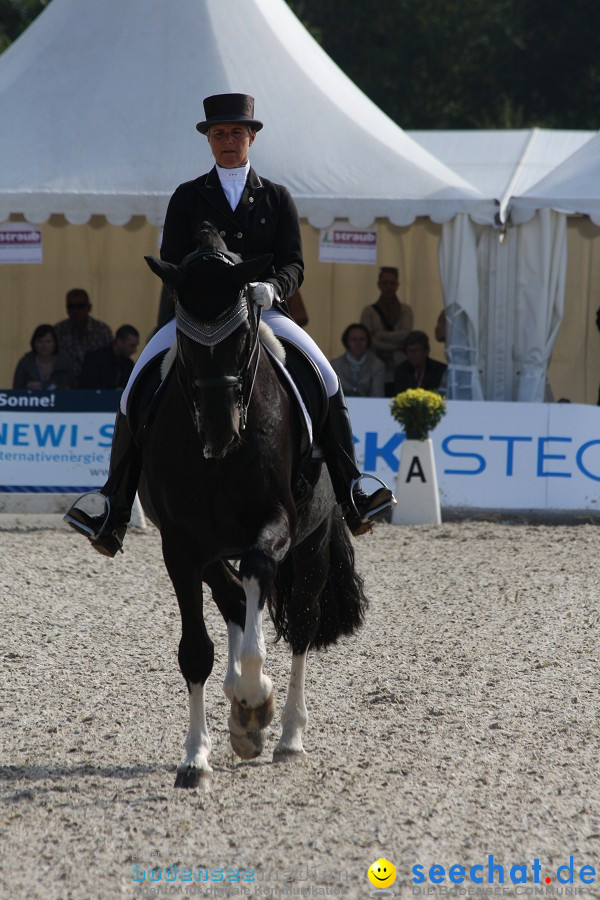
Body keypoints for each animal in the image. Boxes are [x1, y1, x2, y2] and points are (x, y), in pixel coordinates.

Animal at [142, 225, 366, 788]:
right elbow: (196, 651)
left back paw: (287, 734)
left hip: (311, 546)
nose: (220, 434)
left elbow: (260, 583)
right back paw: (243, 718)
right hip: (211, 551)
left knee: (301, 624)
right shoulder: (181, 545)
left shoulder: (276, 527)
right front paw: (196, 756)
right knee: (232, 599)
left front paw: (254, 698)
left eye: (242, 335)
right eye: (186, 341)